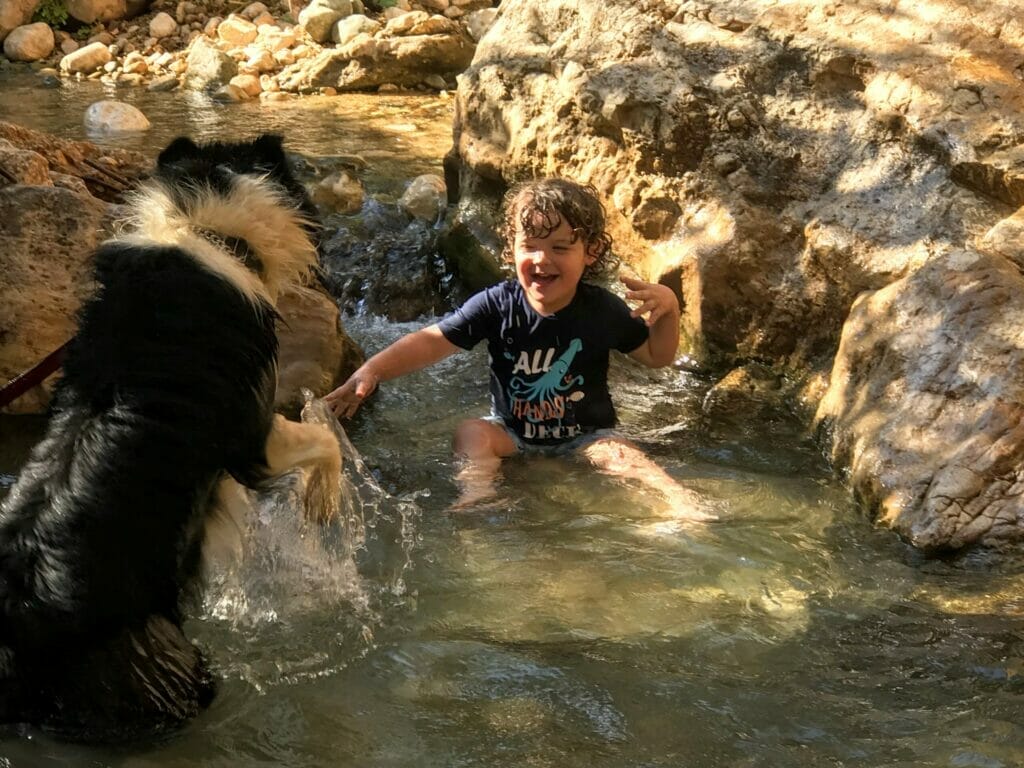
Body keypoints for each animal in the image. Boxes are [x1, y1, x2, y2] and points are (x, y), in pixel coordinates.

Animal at [0, 135, 344, 741]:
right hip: (152, 664)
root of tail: (20, 615)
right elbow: (324, 443)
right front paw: (323, 503)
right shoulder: (253, 436)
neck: (199, 227)